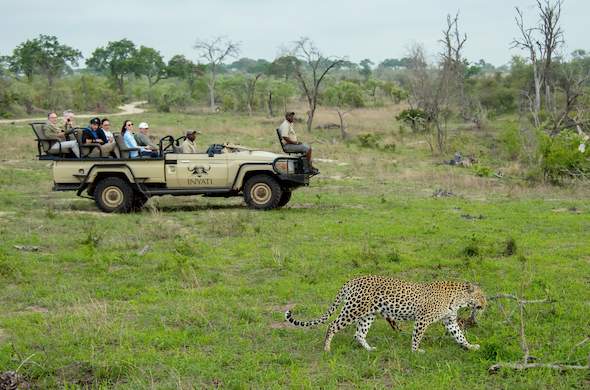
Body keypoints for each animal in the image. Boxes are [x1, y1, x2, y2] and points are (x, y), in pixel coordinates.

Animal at [284, 274, 488, 354]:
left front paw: (470, 347)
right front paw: (415, 351)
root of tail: (352, 280)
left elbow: (460, 335)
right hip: (353, 309)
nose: (485, 305)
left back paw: (369, 349)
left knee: (359, 334)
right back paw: (327, 348)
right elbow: (417, 336)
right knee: (332, 325)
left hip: (368, 315)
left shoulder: (450, 321)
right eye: (481, 296)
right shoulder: (422, 319)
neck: (458, 299)